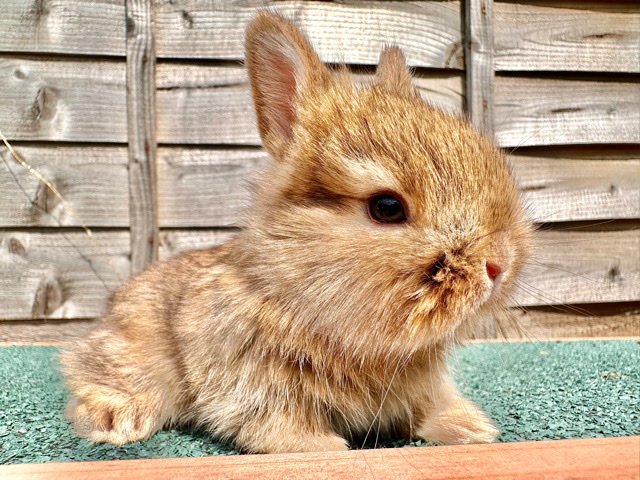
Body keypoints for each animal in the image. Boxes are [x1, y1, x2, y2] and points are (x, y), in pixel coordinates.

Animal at [61, 12, 532, 453]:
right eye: (386, 208)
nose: (498, 265)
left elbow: (428, 410)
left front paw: (472, 429)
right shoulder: (256, 385)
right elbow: (279, 423)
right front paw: (321, 448)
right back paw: (114, 420)